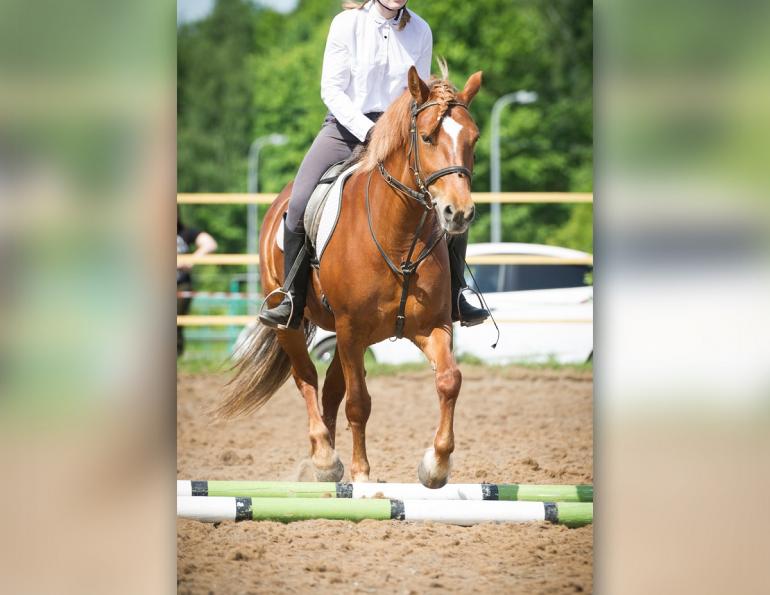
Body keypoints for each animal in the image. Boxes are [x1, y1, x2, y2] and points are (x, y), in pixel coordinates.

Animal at [219, 65, 482, 488]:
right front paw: (361, 473)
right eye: (427, 137)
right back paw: (325, 458)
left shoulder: (433, 327)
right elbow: (359, 402)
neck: (398, 237)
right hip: (299, 327)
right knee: (307, 379)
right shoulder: (349, 330)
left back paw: (323, 462)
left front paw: (436, 465)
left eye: (473, 139)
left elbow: (449, 380)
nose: (458, 213)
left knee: (329, 390)